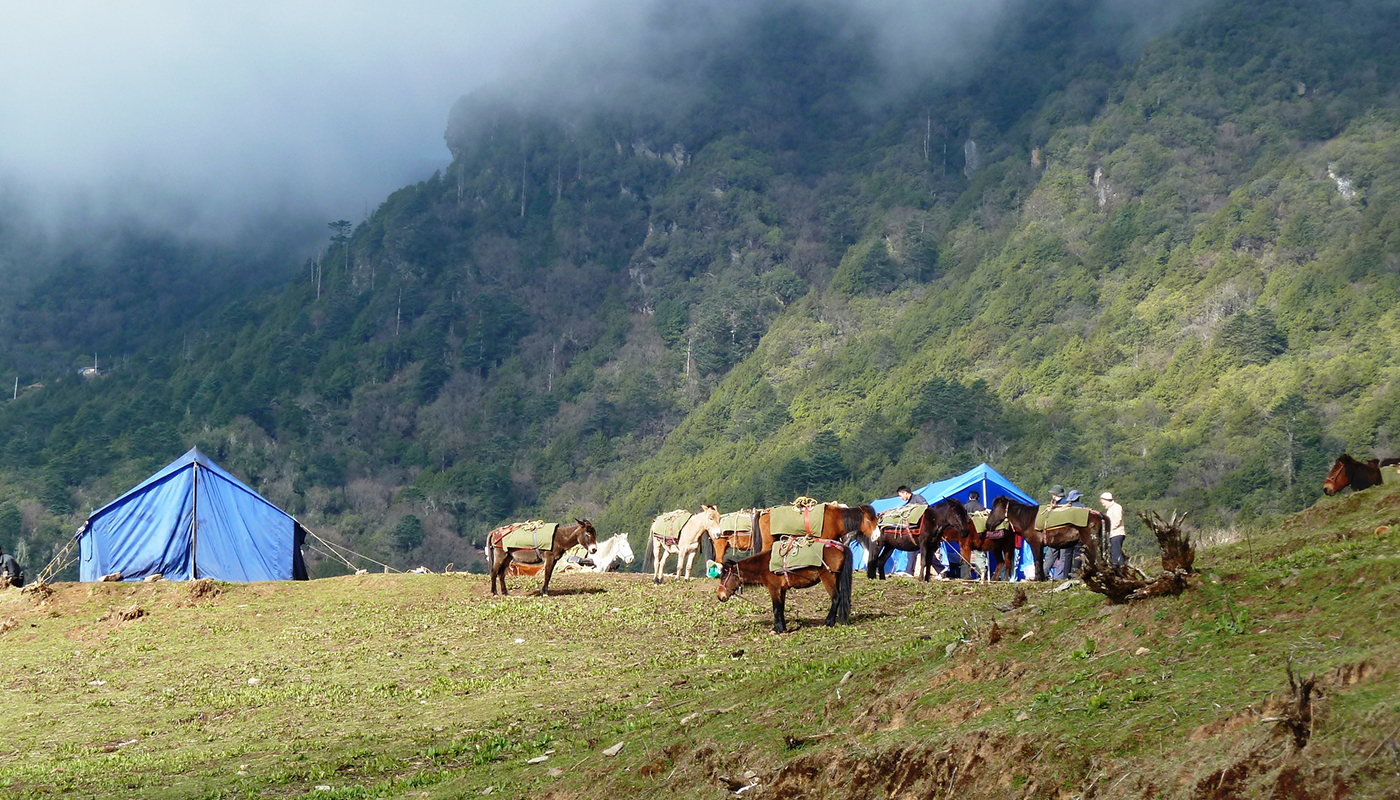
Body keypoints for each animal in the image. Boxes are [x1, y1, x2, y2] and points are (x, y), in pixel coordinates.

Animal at [716, 540, 845, 636]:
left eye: (724, 577)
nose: (720, 596)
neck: (765, 565)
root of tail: (840, 549)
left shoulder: (774, 589)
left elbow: (776, 608)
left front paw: (776, 629)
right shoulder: (782, 590)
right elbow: (781, 607)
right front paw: (782, 627)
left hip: (828, 579)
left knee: (836, 598)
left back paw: (829, 622)